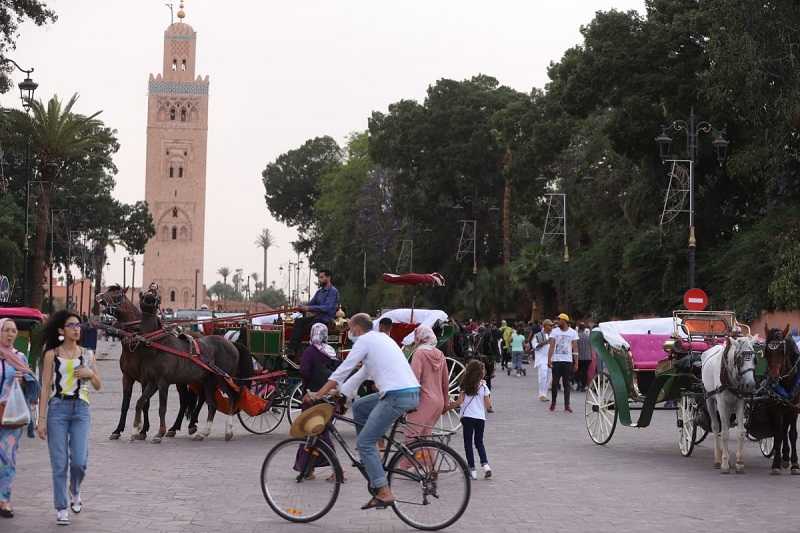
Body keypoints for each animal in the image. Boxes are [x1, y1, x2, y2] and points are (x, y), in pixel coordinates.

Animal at [96, 286, 200, 440]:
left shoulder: (147, 379)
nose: (98, 296)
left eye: (117, 296)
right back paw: (175, 427)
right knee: (186, 400)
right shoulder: (127, 377)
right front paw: (118, 430)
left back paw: (187, 425)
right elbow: (125, 404)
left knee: (189, 399)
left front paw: (143, 430)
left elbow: (145, 403)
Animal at [700, 336, 756, 474]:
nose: (750, 384)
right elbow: (724, 433)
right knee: (716, 427)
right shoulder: (721, 404)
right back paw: (717, 459)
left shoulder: (740, 403)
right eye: (740, 359)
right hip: (710, 399)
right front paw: (724, 463)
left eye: (755, 358)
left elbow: (741, 432)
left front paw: (739, 463)